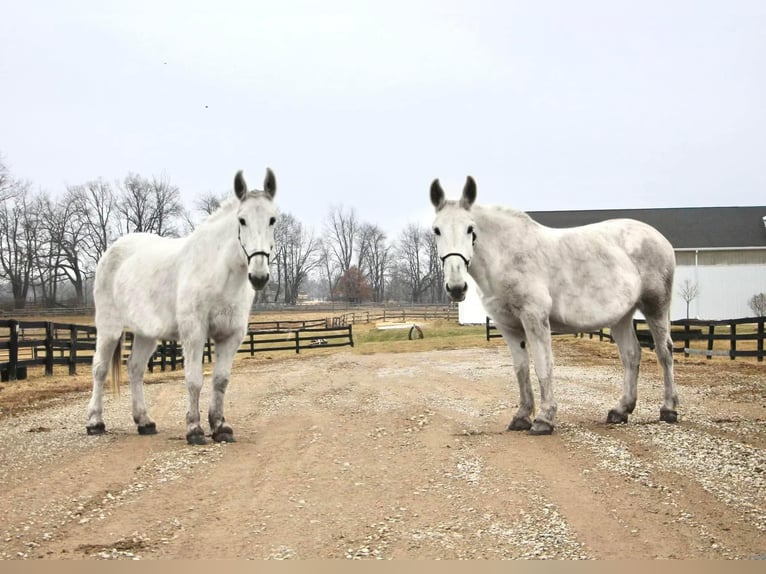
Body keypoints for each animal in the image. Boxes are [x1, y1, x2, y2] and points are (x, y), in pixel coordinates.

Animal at [88, 166, 280, 446]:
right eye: (242, 220)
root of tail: (111, 251)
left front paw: (220, 427)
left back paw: (144, 421)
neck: (218, 272)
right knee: (100, 369)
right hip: (108, 328)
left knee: (135, 368)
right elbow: (194, 380)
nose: (258, 277)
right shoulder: (194, 334)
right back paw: (95, 422)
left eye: (272, 220)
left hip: (146, 334)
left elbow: (220, 381)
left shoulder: (230, 336)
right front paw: (195, 429)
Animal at [432, 177, 680, 436]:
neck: (507, 255)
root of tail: (658, 237)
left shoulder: (535, 318)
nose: (456, 287)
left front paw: (544, 419)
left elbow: (543, 365)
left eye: (471, 229)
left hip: (656, 307)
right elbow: (521, 369)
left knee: (664, 352)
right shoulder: (507, 325)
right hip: (622, 316)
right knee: (631, 355)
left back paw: (668, 409)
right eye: (436, 230)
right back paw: (620, 411)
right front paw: (521, 416)